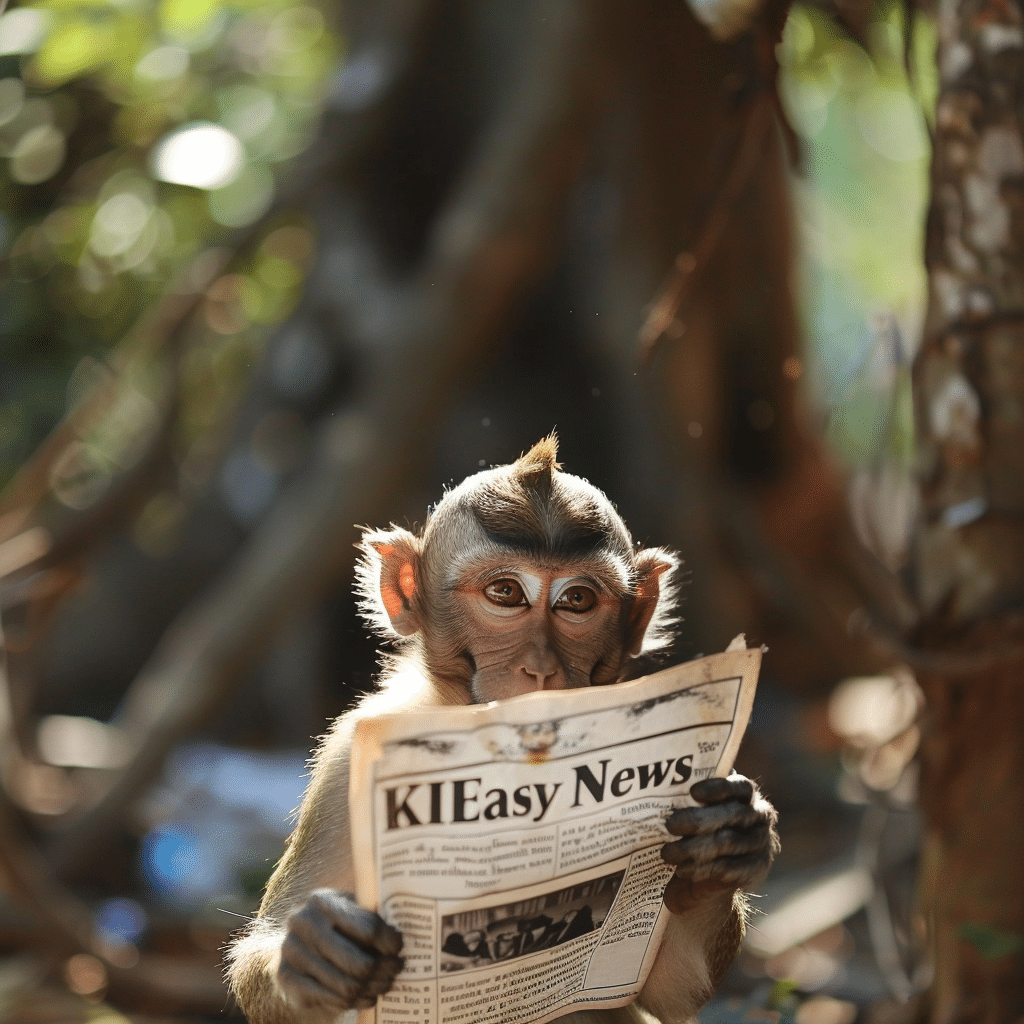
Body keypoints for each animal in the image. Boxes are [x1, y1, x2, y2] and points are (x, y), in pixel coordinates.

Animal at [227, 436, 778, 1024]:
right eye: (506, 593)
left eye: (577, 600)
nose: (539, 668)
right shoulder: (345, 759)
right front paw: (313, 953)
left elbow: (670, 988)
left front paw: (728, 842)